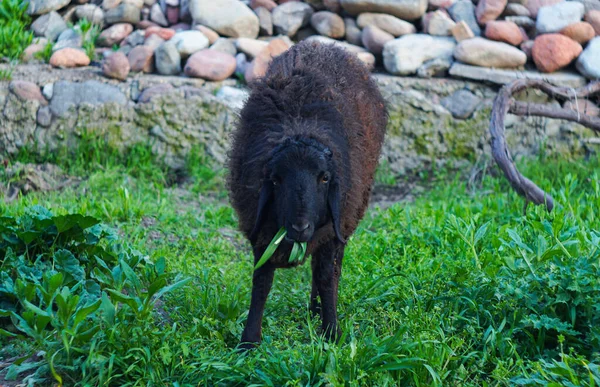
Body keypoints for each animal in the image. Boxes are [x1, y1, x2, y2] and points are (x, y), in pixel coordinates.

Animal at [226, 41, 390, 350]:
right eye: (275, 180)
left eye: (324, 177)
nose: (300, 227)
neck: (299, 125)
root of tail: (323, 43)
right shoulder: (262, 233)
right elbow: (261, 282)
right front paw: (249, 341)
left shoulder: (332, 233)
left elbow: (327, 279)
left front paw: (332, 333)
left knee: (325, 271)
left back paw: (317, 312)